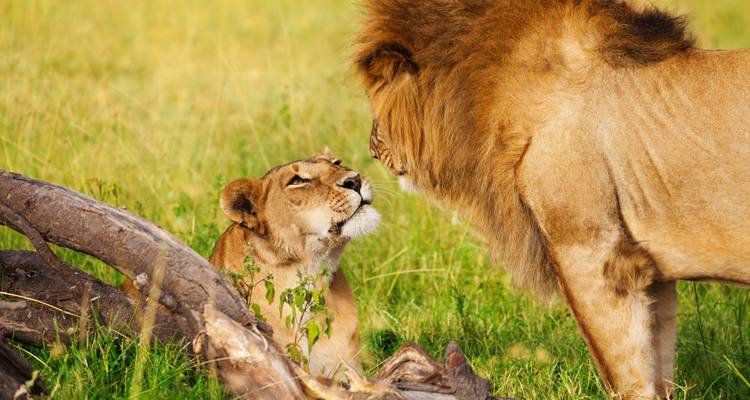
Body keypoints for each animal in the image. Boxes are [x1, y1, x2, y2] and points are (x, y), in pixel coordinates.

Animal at [354, 0, 750, 398]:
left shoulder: (595, 253)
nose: (371, 147)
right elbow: (659, 361)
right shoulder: (651, 269)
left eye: (374, 95)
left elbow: (625, 370)